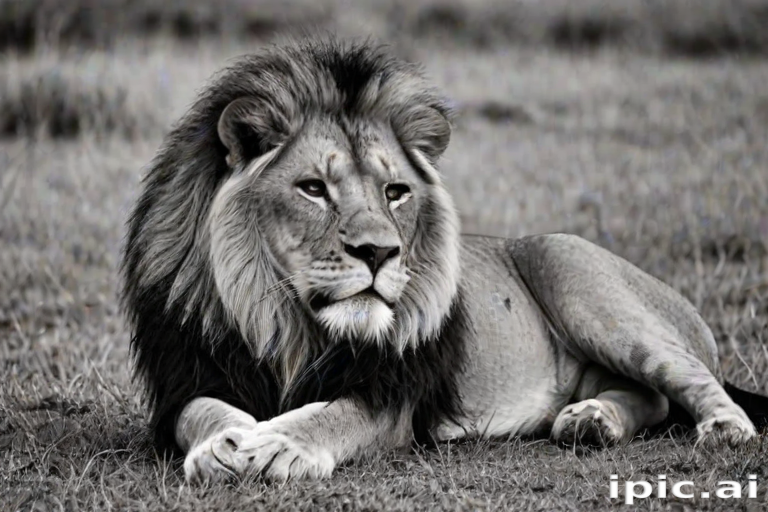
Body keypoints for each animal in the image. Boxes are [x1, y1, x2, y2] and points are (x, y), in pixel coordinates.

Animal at [121, 37, 768, 484]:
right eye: (313, 189)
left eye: (395, 192)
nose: (379, 252)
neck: (286, 322)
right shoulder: (186, 376)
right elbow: (203, 414)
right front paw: (226, 443)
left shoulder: (392, 395)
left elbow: (329, 415)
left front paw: (278, 444)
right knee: (651, 398)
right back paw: (590, 421)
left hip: (572, 271)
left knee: (689, 378)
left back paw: (724, 428)